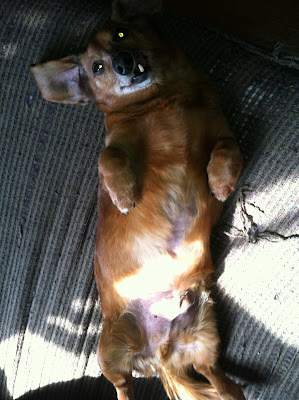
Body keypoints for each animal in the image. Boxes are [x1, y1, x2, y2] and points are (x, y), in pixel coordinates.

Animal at [31, 0, 245, 400]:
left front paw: (221, 181)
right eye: (97, 67)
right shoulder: (117, 143)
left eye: (120, 34)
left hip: (205, 327)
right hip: (109, 350)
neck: (160, 99)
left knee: (214, 376)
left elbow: (228, 148)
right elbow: (109, 158)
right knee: (123, 386)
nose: (122, 62)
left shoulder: (222, 129)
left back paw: (230, 390)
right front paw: (124, 193)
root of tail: (159, 352)